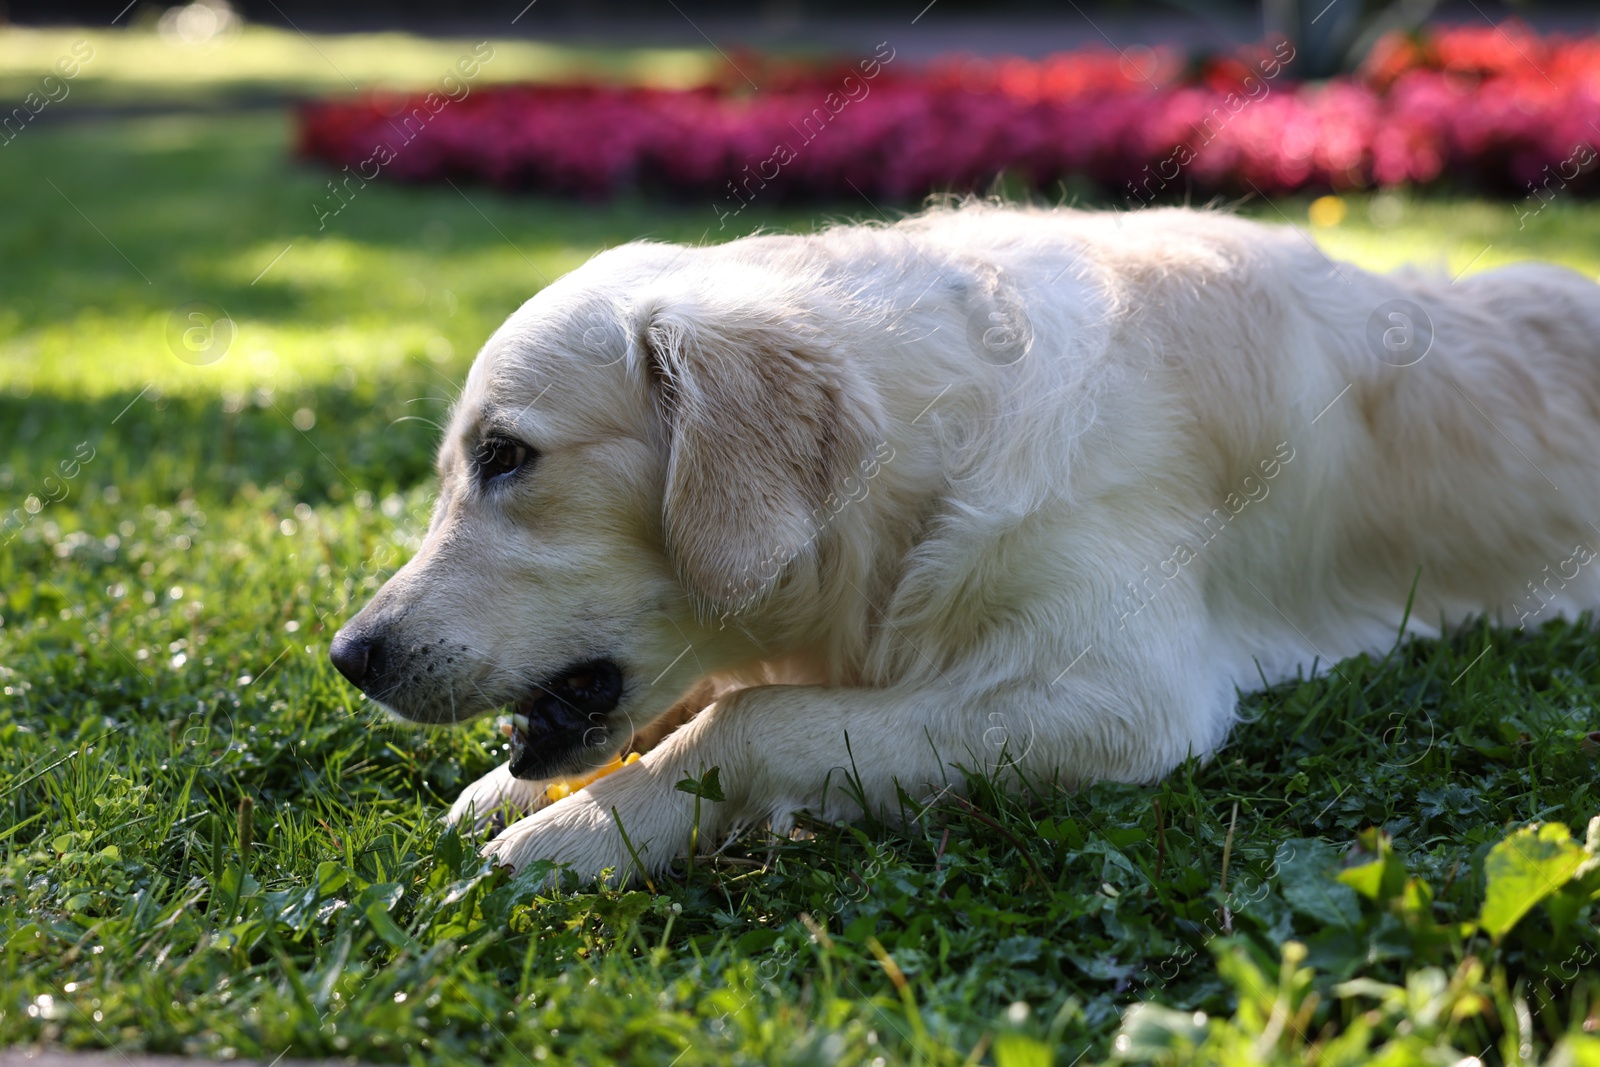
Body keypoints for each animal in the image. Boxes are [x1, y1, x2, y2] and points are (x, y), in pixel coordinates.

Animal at [331, 202, 1600, 883]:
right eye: (456, 464)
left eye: (507, 455)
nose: (350, 654)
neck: (924, 444)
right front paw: (507, 788)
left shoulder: (1123, 694)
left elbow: (753, 715)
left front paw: (587, 828)